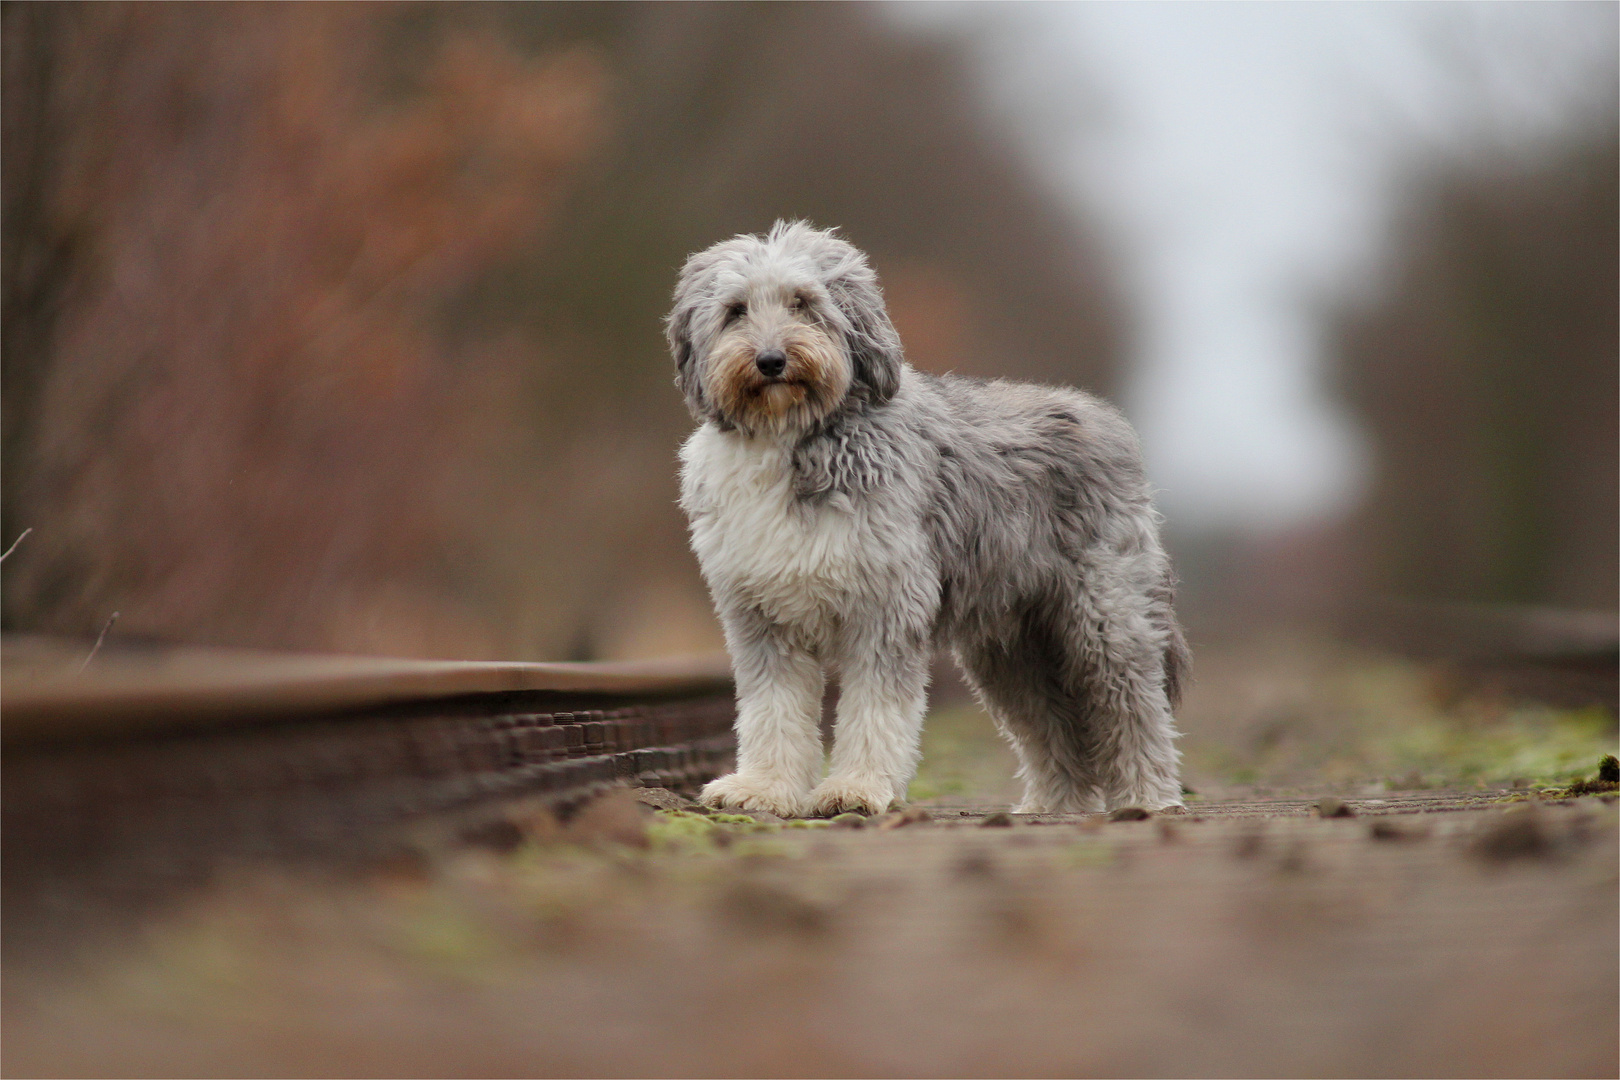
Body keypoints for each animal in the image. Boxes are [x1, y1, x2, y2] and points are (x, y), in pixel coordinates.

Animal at [664, 220, 1185, 816]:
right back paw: (1055, 804)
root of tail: (1107, 420)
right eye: (735, 311)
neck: (793, 439)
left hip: (1104, 618)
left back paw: (1146, 797)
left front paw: (855, 789)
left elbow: (875, 708)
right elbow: (772, 709)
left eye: (803, 303)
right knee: (1051, 724)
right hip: (1013, 647)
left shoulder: (885, 603)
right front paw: (763, 789)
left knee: (1133, 707)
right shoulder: (761, 615)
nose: (771, 361)